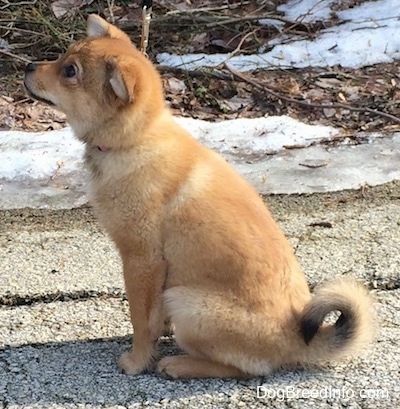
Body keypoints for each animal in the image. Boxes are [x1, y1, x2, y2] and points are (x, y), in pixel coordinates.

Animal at [23, 15, 376, 380]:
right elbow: (151, 317)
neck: (135, 141)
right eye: (64, 57)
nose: (28, 66)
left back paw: (180, 364)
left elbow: (140, 320)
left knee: (249, 369)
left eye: (70, 71)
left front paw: (137, 360)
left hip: (186, 302)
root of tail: (296, 339)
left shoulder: (141, 259)